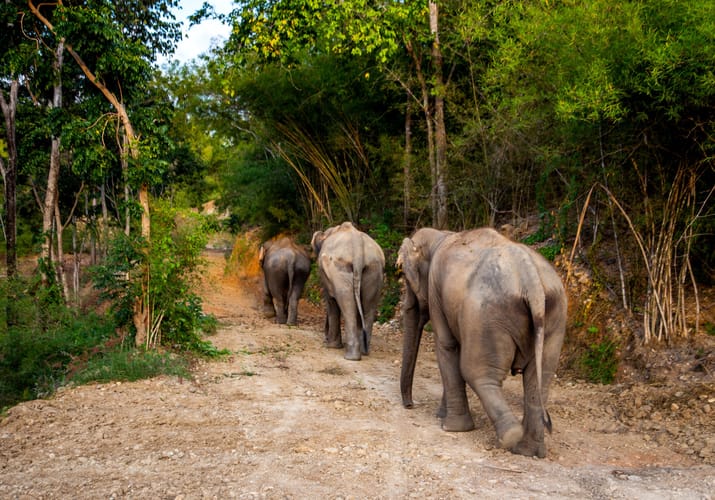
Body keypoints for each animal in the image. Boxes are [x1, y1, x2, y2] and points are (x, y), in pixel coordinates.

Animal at [311, 221, 385, 361]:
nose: (325, 337)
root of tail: (358, 248)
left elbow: (331, 301)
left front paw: (331, 346)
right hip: (374, 269)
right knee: (369, 306)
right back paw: (364, 351)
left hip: (340, 268)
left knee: (346, 302)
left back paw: (351, 356)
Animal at [398, 227, 567, 458]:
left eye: (406, 277)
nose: (409, 405)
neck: (441, 234)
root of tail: (530, 278)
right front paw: (442, 415)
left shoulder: (435, 290)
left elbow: (447, 346)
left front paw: (449, 426)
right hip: (554, 319)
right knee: (538, 380)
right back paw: (528, 450)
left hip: (486, 316)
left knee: (477, 372)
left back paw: (511, 435)